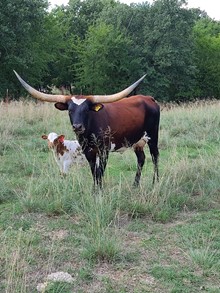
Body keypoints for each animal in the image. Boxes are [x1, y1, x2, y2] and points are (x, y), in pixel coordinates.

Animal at [15, 72, 160, 188]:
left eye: (86, 110)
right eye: (70, 110)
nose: (77, 126)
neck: (89, 132)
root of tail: (148, 98)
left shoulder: (104, 150)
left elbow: (100, 172)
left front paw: (99, 191)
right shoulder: (88, 151)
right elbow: (94, 172)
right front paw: (94, 190)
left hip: (152, 136)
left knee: (155, 157)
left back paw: (156, 183)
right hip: (138, 141)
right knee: (141, 159)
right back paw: (135, 185)